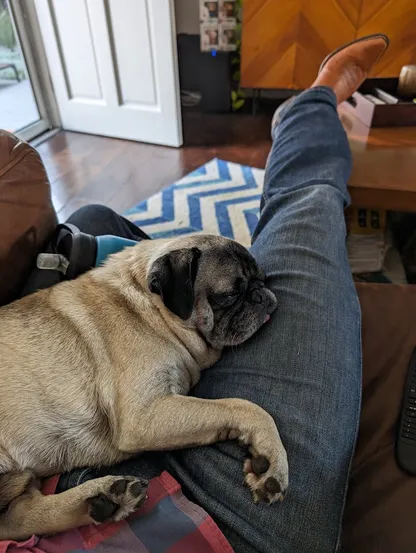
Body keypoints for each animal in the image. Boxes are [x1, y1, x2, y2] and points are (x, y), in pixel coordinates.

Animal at [0, 233, 288, 540]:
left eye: (262, 279)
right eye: (229, 295)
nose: (261, 294)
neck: (152, 310)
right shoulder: (144, 416)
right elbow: (244, 407)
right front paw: (272, 458)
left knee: (17, 517)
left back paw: (100, 500)